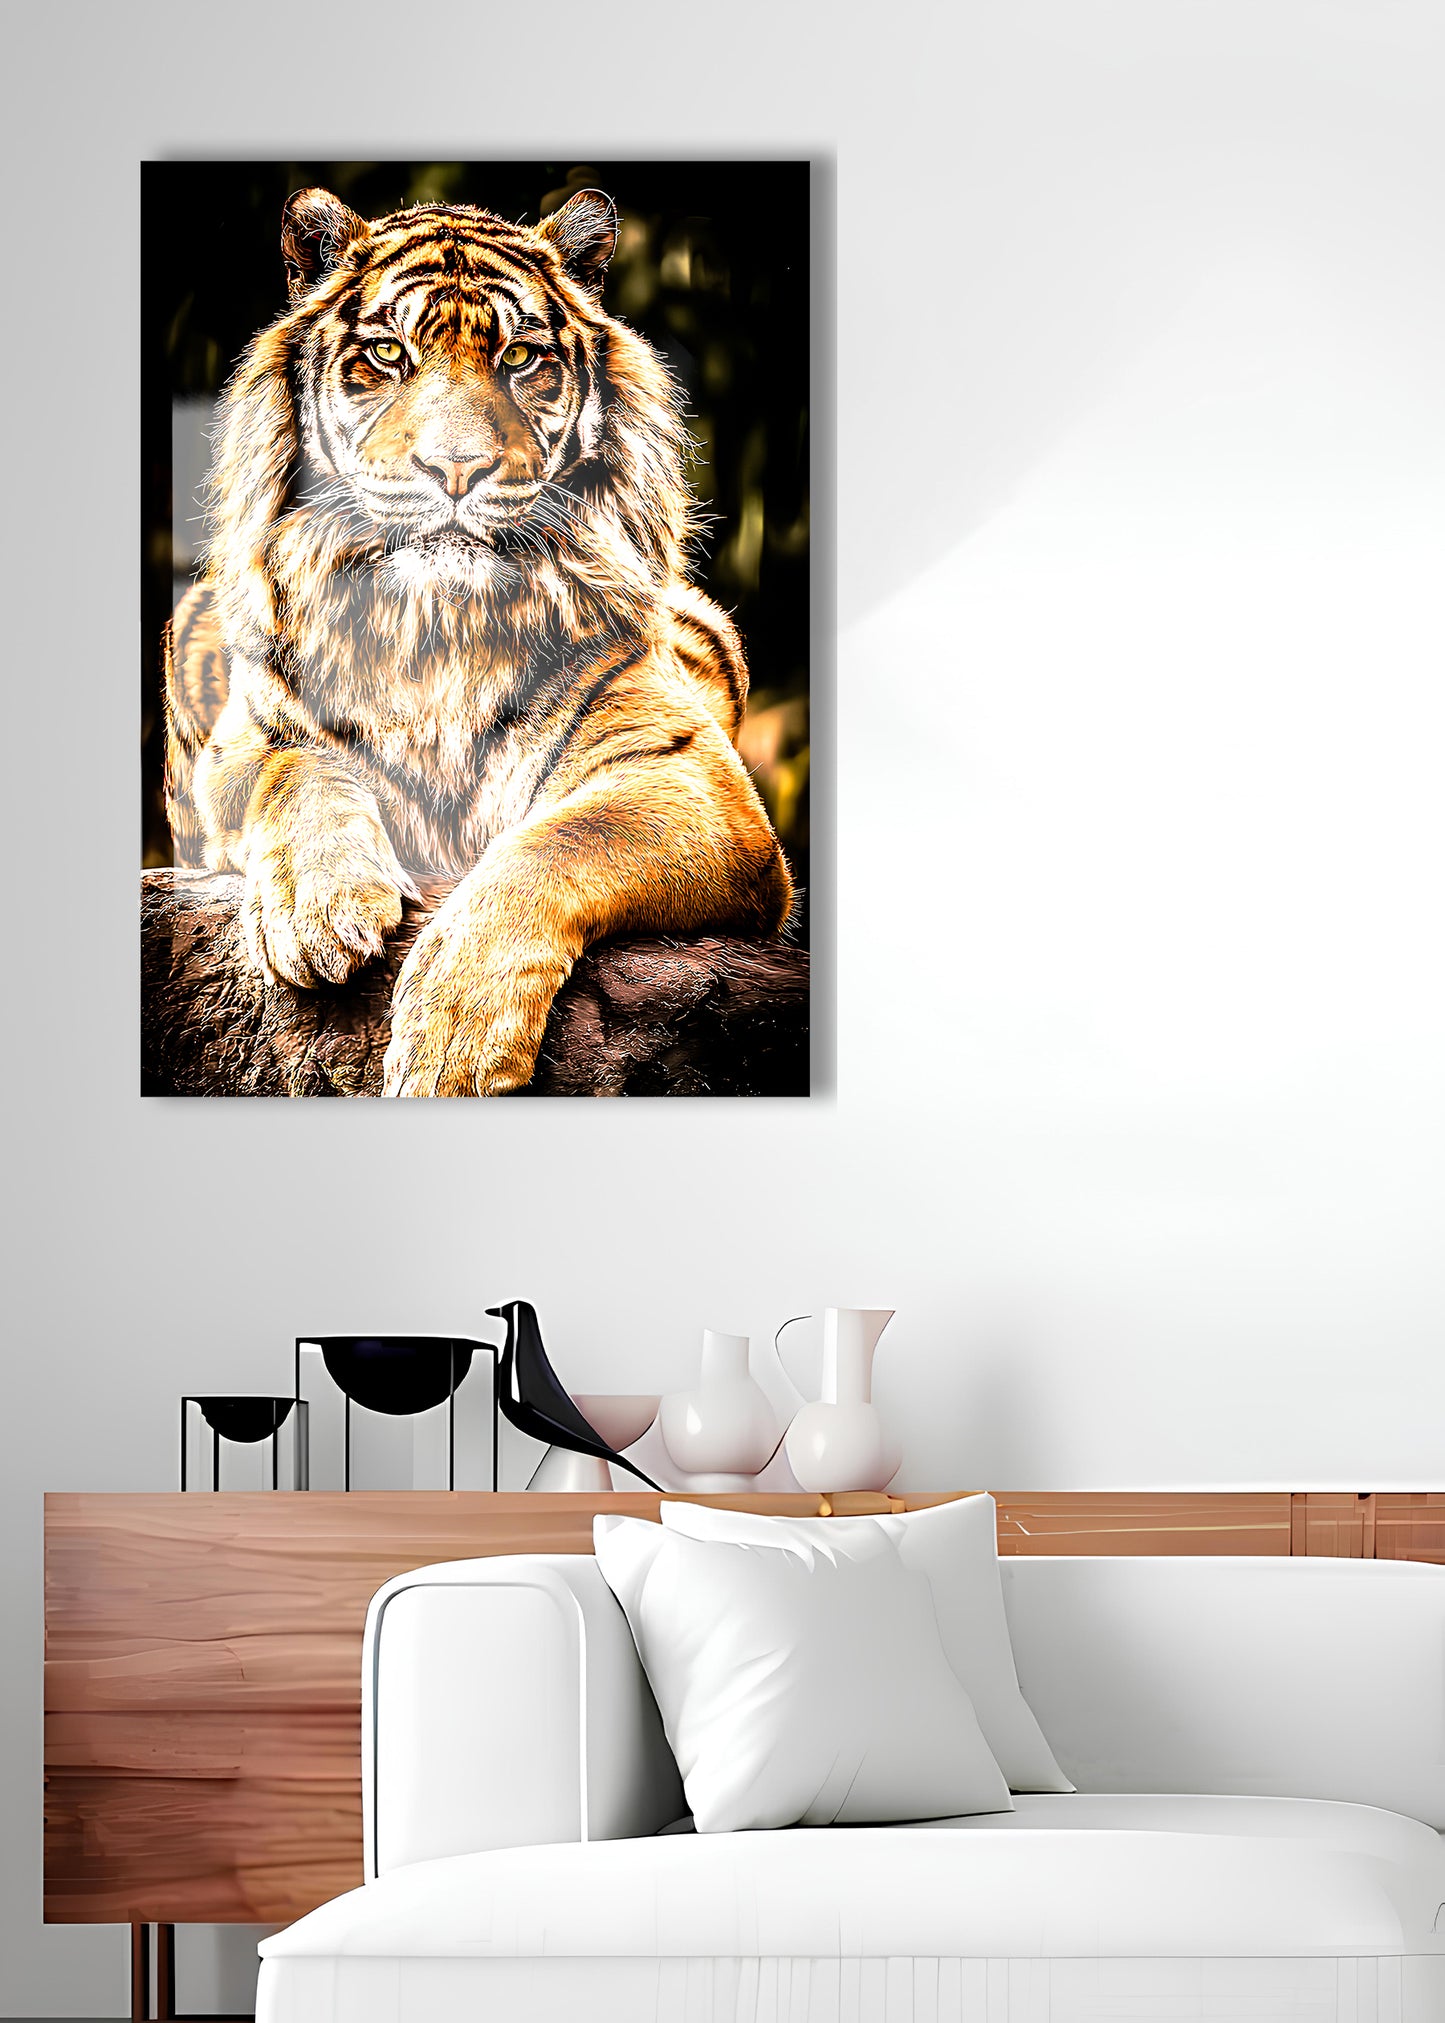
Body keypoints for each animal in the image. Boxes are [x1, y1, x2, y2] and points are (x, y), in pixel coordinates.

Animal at [163, 183, 793, 1096]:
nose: (456, 469)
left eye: (520, 357)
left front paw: (450, 1044)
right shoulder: (244, 746)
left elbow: (555, 844)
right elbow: (299, 772)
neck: (438, 627)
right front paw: (317, 910)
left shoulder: (686, 777)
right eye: (387, 353)